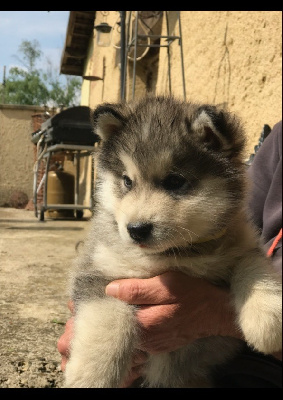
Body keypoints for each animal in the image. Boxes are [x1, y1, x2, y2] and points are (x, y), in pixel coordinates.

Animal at [63, 94, 282, 388]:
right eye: (127, 181)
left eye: (175, 181)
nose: (136, 229)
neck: (174, 254)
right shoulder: (98, 270)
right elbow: (108, 319)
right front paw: (91, 375)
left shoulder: (241, 245)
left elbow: (253, 265)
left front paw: (267, 320)